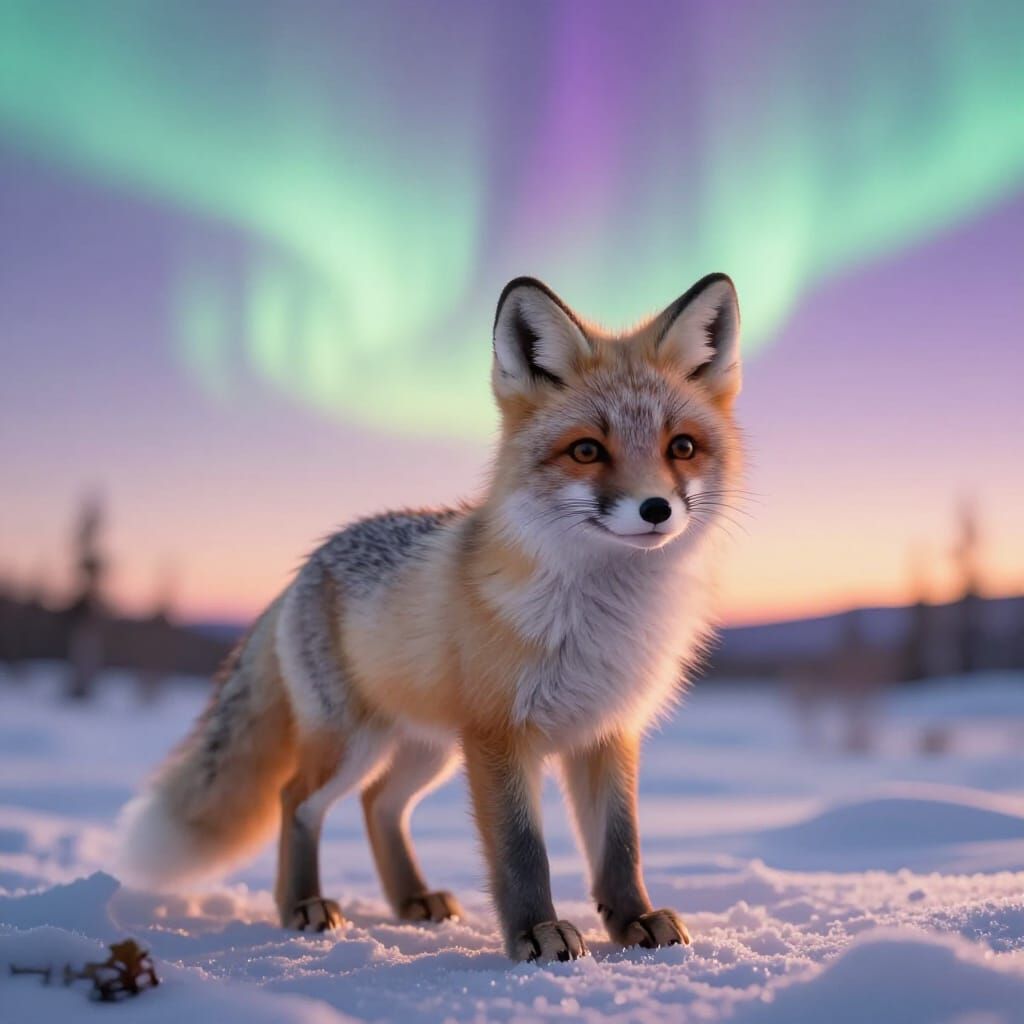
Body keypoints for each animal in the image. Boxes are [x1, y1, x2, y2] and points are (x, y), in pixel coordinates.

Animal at [118, 272, 744, 962]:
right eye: (587, 450)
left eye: (681, 447)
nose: (656, 508)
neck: (603, 619)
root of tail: (306, 566)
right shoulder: (499, 736)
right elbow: (522, 851)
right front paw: (535, 933)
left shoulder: (607, 732)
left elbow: (620, 845)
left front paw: (634, 921)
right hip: (355, 742)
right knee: (297, 799)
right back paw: (302, 904)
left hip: (426, 750)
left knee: (378, 805)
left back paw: (411, 899)